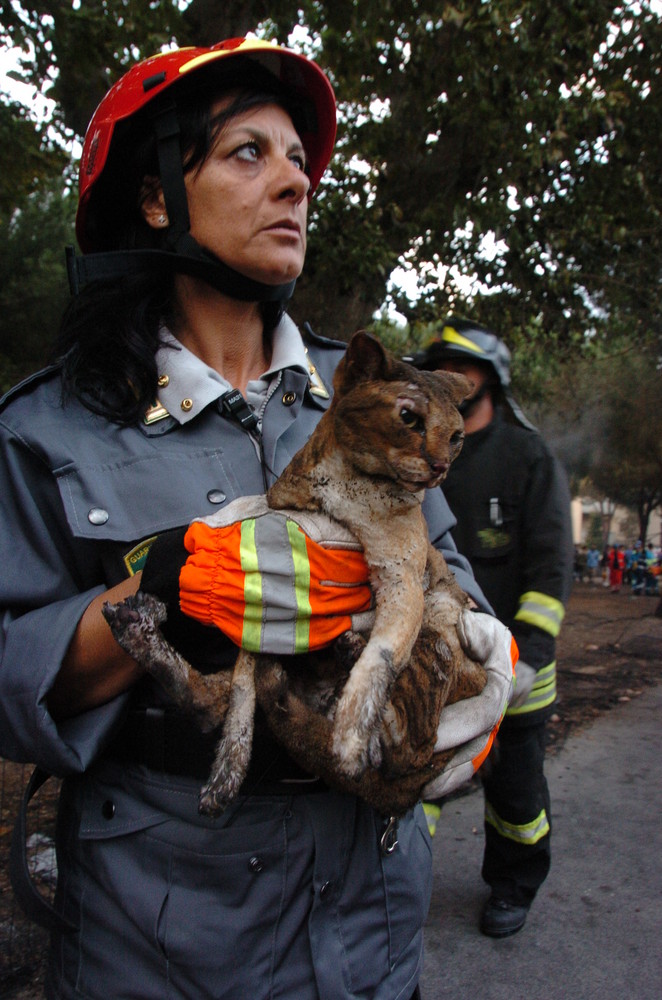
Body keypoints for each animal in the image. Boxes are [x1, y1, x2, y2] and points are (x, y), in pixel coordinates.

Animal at [104, 332, 488, 816]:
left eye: (456, 437)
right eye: (409, 418)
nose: (441, 466)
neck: (346, 487)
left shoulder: (402, 577)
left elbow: (382, 656)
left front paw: (350, 735)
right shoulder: (280, 531)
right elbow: (241, 696)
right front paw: (228, 769)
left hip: (441, 632)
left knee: (408, 740)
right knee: (214, 702)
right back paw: (139, 629)